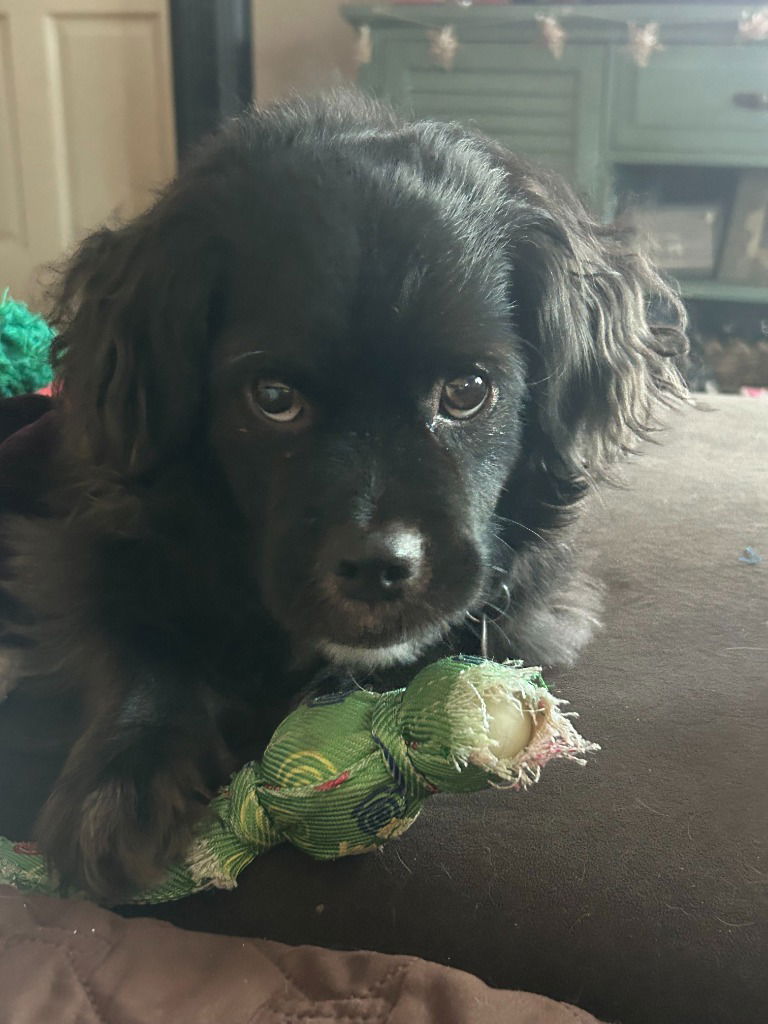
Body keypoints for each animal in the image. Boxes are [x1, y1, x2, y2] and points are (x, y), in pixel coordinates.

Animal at [0, 94, 688, 897]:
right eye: (273, 398)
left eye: (466, 391)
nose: (376, 566)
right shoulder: (86, 546)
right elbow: (133, 644)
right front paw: (121, 785)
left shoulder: (533, 610)